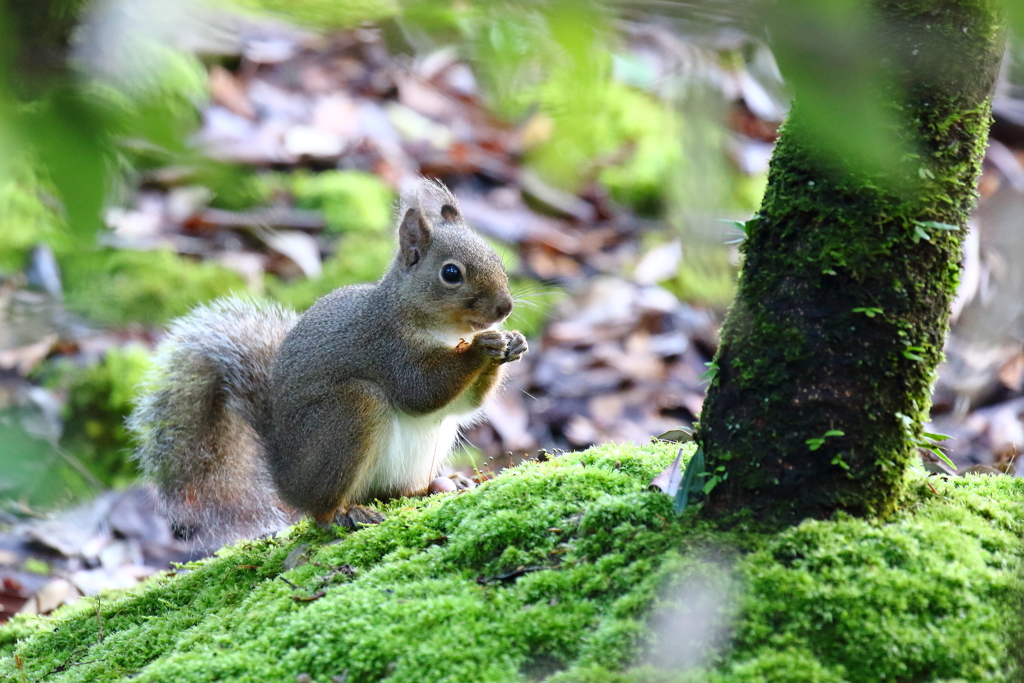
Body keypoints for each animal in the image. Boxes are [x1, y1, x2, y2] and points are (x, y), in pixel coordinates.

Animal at [129, 179, 528, 540]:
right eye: (451, 273)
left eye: (497, 258)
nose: (505, 308)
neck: (440, 330)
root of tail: (285, 478)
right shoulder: (388, 349)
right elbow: (421, 391)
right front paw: (482, 347)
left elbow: (464, 405)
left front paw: (512, 344)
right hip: (349, 414)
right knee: (322, 508)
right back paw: (344, 513)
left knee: (397, 490)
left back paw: (441, 483)